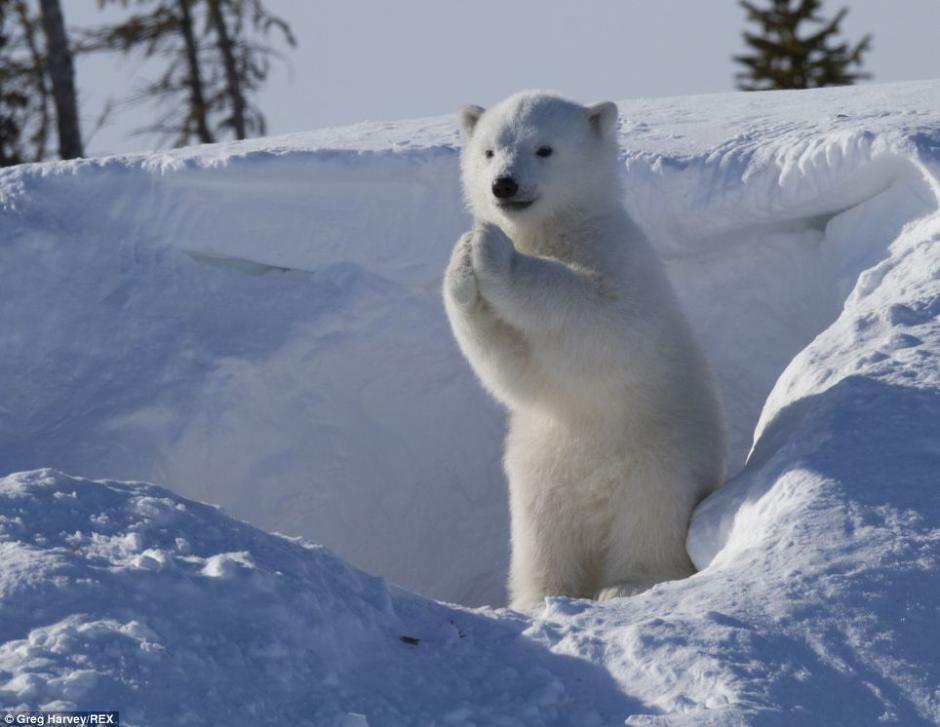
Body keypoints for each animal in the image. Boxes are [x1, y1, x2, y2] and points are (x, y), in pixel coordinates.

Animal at [444, 92, 732, 616]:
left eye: (544, 149)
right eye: (490, 151)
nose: (504, 184)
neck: (558, 230)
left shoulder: (619, 254)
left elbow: (604, 319)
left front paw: (494, 252)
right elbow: (512, 368)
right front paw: (463, 260)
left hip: (660, 460)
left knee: (649, 522)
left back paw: (628, 584)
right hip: (542, 473)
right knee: (542, 537)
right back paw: (540, 596)